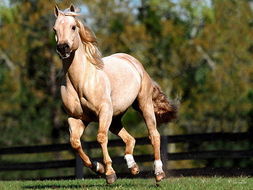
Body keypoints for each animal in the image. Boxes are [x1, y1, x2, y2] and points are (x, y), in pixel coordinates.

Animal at [53, 5, 176, 185]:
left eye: (73, 27)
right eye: (54, 29)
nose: (63, 48)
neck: (81, 81)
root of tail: (134, 62)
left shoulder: (104, 112)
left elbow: (101, 138)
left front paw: (110, 174)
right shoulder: (76, 118)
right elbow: (75, 143)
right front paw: (99, 168)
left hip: (143, 104)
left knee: (154, 135)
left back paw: (159, 173)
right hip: (115, 117)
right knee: (130, 139)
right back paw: (133, 167)